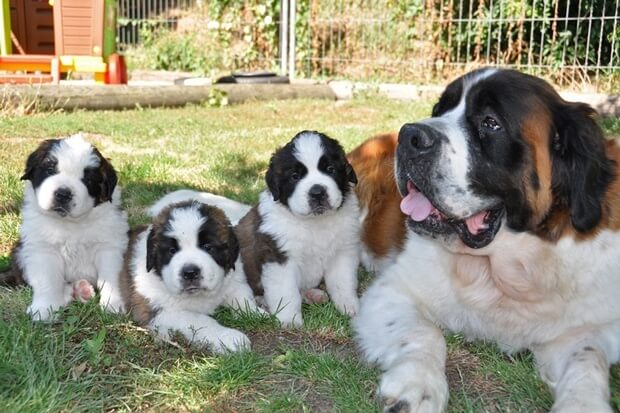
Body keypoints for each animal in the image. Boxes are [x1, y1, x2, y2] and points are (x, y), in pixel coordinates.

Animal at [6, 134, 127, 320]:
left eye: (88, 180)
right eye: (50, 170)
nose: (63, 194)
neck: (71, 224)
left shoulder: (109, 247)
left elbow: (111, 278)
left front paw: (113, 304)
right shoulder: (43, 250)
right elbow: (48, 280)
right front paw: (45, 309)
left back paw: (82, 290)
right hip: (20, 253)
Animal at [121, 200, 260, 350]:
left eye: (208, 247)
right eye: (172, 250)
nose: (190, 273)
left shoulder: (234, 281)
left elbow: (244, 298)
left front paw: (256, 313)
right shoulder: (156, 309)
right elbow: (199, 319)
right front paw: (230, 338)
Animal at [352, 69, 620, 410]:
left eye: (490, 123)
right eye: (439, 109)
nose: (409, 135)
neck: (503, 268)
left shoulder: (583, 327)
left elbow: (588, 358)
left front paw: (583, 404)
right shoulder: (393, 289)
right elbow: (424, 332)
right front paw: (416, 386)